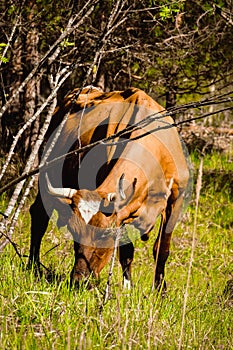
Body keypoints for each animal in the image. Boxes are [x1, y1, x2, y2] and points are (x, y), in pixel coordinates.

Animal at [28, 86, 190, 292]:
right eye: (74, 230)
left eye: (104, 233)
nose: (79, 280)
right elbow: (126, 250)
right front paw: (127, 288)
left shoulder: (176, 198)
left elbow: (162, 249)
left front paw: (160, 290)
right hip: (46, 172)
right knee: (39, 216)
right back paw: (33, 266)